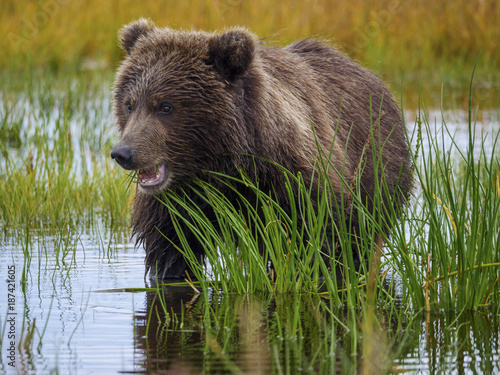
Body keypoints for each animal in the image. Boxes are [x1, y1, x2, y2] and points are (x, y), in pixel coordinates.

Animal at [111, 19, 412, 280]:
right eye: (129, 104)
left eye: (165, 107)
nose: (123, 153)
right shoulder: (173, 204)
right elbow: (172, 250)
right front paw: (171, 271)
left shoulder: (294, 184)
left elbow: (317, 243)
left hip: (378, 175)